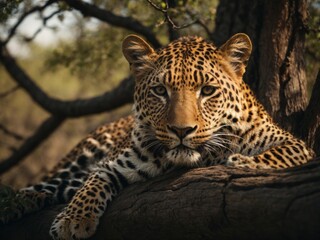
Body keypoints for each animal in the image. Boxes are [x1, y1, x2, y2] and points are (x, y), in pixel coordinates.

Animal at [0, 32, 316, 239]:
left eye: (208, 91)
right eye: (160, 91)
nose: (181, 130)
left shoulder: (296, 144)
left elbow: (280, 152)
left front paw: (245, 163)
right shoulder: (113, 163)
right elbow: (92, 183)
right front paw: (73, 219)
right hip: (84, 154)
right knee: (51, 184)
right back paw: (12, 203)